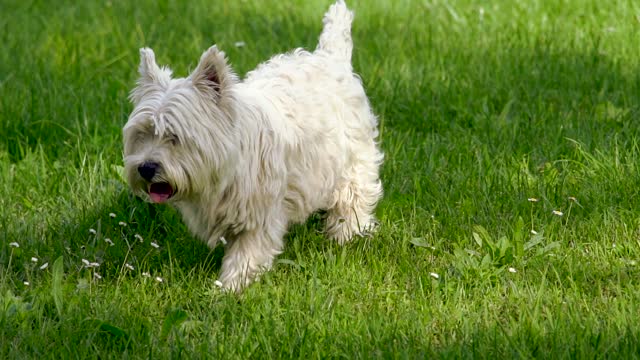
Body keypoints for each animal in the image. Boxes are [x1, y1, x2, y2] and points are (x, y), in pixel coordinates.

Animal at [124, 0, 382, 292]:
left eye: (174, 137)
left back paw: (346, 235)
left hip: (353, 161)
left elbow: (246, 253)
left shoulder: (260, 214)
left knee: (352, 199)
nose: (146, 168)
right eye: (143, 133)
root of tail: (330, 57)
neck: (228, 165)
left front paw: (229, 288)